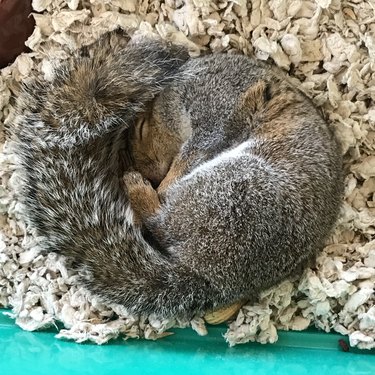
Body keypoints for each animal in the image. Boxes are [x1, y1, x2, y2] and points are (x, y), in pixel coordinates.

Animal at [11, 30, 346, 324]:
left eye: (142, 128)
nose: (150, 172)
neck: (179, 94)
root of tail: (209, 277)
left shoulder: (214, 115)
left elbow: (192, 154)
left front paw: (163, 180)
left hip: (231, 187)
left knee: (159, 220)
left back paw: (138, 187)